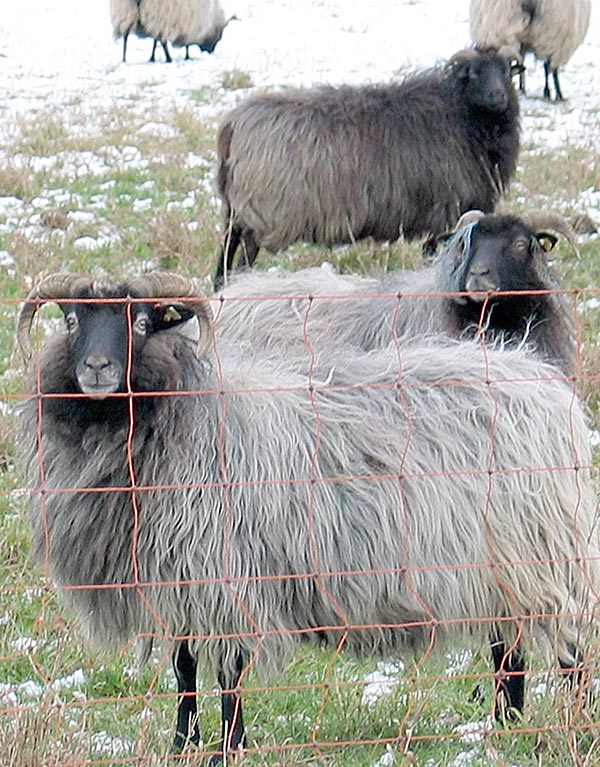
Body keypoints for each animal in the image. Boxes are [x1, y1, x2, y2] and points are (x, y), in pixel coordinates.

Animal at [18, 270, 600, 760]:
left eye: (140, 322)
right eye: (71, 320)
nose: (96, 369)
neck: (183, 417)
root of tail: (541, 380)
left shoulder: (226, 576)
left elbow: (228, 672)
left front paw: (231, 747)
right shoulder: (178, 578)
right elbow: (184, 670)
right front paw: (183, 745)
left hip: (544, 552)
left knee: (569, 650)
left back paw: (572, 724)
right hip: (499, 564)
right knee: (509, 647)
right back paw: (506, 727)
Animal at [213, 45, 524, 292]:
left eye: (506, 70)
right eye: (472, 73)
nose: (497, 96)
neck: (461, 116)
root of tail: (232, 124)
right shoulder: (444, 211)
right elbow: (432, 254)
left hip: (235, 207)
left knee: (227, 245)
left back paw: (219, 286)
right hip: (261, 213)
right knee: (244, 253)